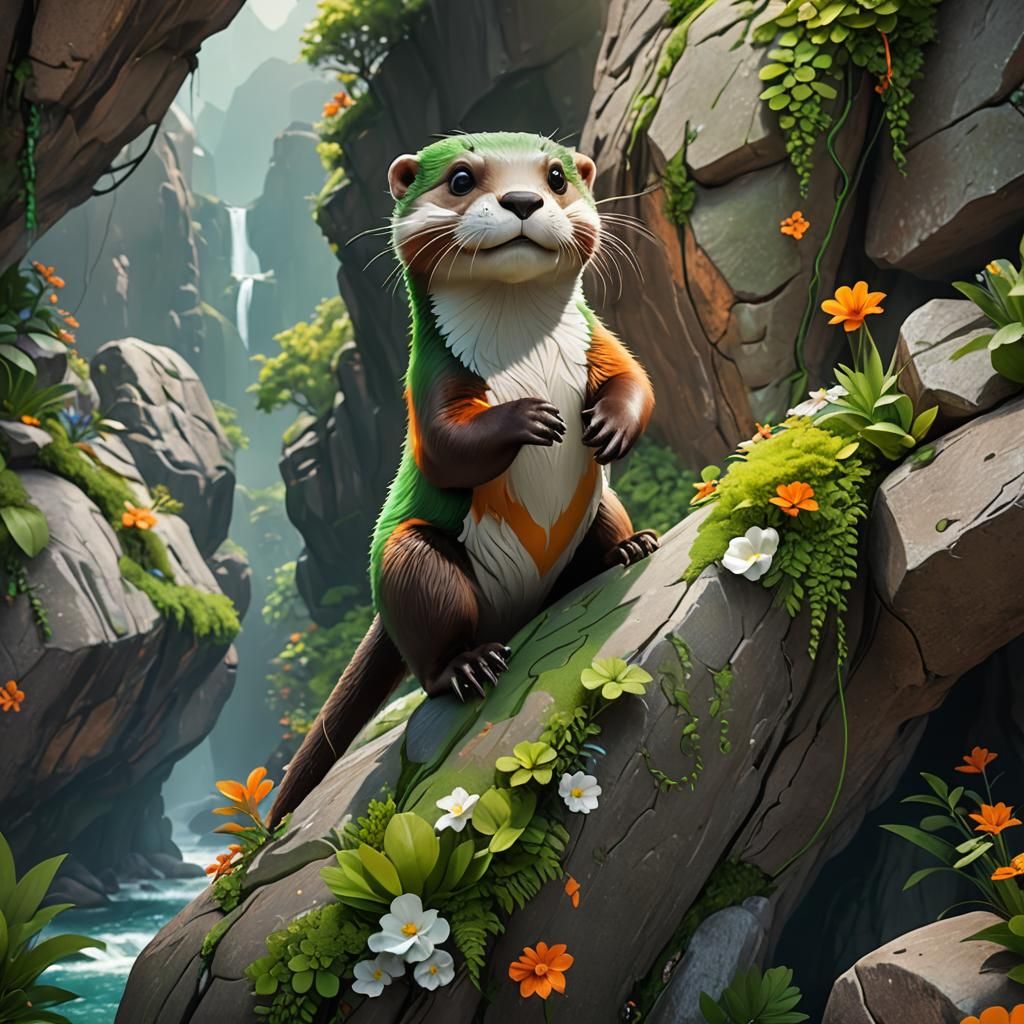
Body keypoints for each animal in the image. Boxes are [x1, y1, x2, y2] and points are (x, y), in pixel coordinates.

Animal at [269, 131, 656, 825]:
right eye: (459, 178)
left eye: (557, 176)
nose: (524, 199)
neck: (523, 352)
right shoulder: (429, 383)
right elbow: (448, 450)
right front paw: (529, 419)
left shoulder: (599, 340)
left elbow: (635, 381)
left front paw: (609, 428)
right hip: (412, 563)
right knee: (427, 644)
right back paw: (468, 667)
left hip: (602, 505)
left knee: (595, 541)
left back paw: (629, 548)